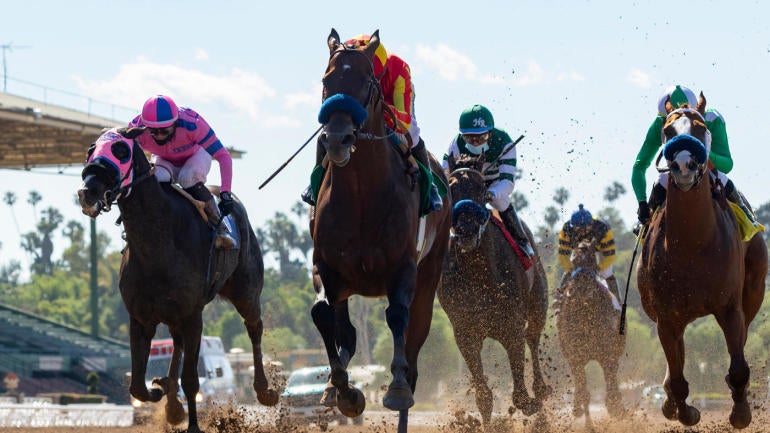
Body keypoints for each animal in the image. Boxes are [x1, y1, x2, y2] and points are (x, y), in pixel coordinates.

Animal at [77, 127, 278, 433]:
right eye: (90, 150)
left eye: (121, 150)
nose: (88, 191)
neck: (158, 243)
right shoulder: (140, 318)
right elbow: (137, 385)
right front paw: (160, 390)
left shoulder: (193, 315)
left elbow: (192, 379)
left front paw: (192, 424)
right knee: (178, 344)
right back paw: (171, 401)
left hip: (246, 292)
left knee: (254, 328)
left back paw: (264, 390)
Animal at [309, 29, 452, 433]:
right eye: (327, 81)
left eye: (366, 83)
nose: (337, 139)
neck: (361, 195)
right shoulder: (327, 267)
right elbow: (322, 314)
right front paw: (343, 391)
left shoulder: (402, 268)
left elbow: (397, 318)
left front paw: (396, 389)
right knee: (347, 331)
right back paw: (334, 387)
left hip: (429, 275)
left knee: (414, 345)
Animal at [439, 152, 550, 425]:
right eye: (451, 188)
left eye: (481, 188)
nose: (466, 231)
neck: (479, 273)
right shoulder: (465, 332)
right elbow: (484, 397)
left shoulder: (511, 325)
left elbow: (521, 396)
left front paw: (532, 404)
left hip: (538, 302)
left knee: (533, 337)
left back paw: (541, 390)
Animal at [556, 238, 625, 427]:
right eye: (573, 261)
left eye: (591, 260)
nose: (579, 288)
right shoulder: (575, 357)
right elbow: (583, 391)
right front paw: (587, 422)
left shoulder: (607, 355)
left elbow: (611, 387)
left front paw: (616, 410)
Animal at [636, 93, 767, 428]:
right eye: (668, 131)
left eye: (700, 127)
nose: (684, 165)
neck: (692, 245)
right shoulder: (666, 317)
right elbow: (678, 378)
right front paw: (684, 409)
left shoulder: (730, 307)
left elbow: (738, 366)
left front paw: (740, 413)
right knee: (677, 360)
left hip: (754, 291)